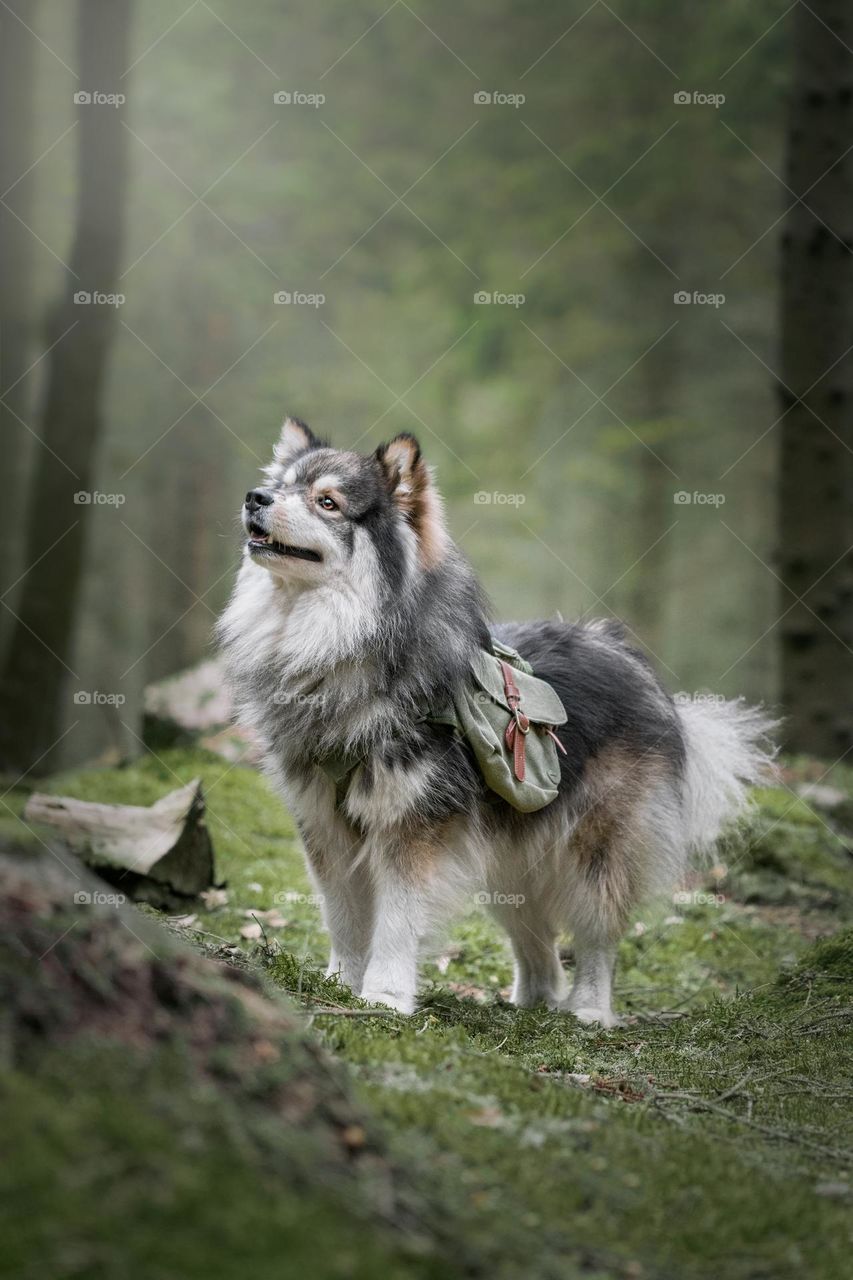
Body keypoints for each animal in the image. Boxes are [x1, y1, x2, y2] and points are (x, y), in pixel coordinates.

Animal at [217, 414, 768, 1024]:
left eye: (328, 502)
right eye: (283, 485)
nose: (255, 497)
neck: (332, 644)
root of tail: (624, 652)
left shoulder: (412, 828)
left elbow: (396, 922)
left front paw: (384, 996)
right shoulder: (324, 827)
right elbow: (342, 919)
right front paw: (338, 983)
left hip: (596, 849)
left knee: (598, 936)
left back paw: (589, 1011)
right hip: (509, 860)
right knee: (539, 946)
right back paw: (531, 1002)